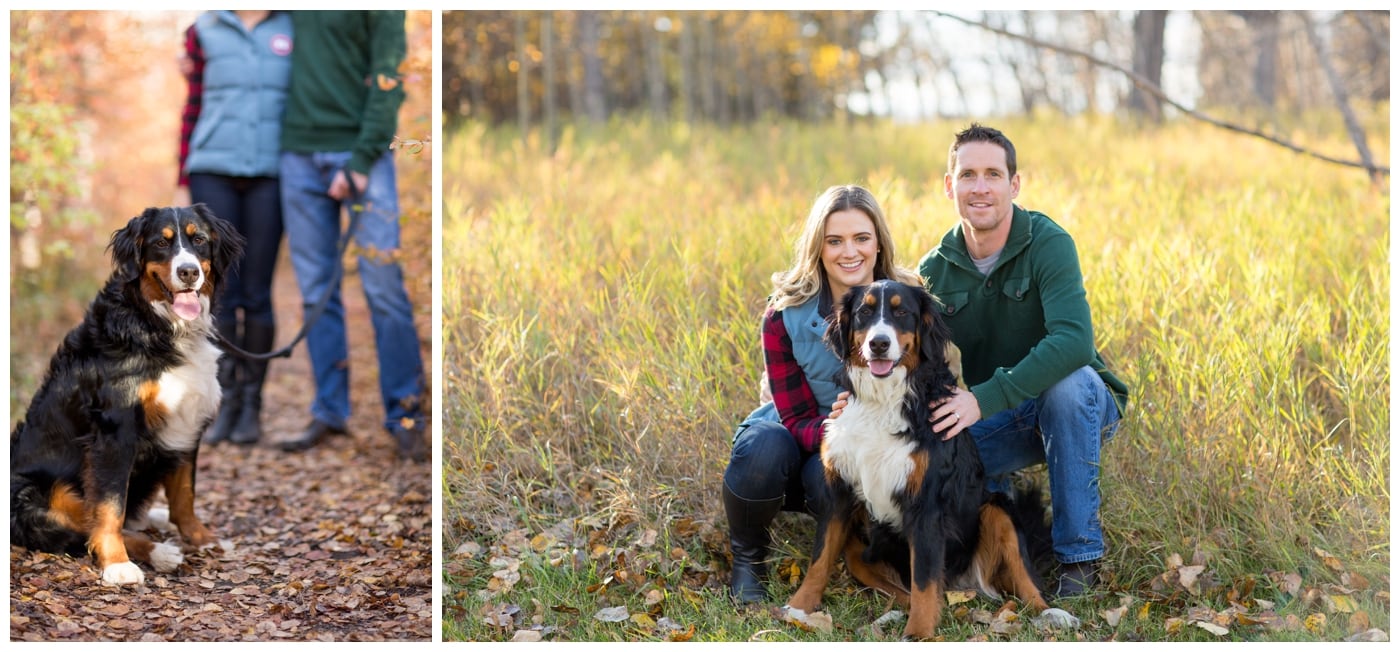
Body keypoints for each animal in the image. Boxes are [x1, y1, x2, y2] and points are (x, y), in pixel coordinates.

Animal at [10, 205, 246, 584]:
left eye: (198, 240)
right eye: (161, 243)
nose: (189, 272)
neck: (156, 324)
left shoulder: (187, 422)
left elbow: (185, 495)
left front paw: (202, 539)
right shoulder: (115, 430)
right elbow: (109, 508)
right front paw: (117, 564)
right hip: (34, 496)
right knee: (85, 522)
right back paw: (158, 552)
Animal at [784, 277, 1075, 638]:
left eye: (902, 312)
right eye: (865, 311)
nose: (879, 344)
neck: (884, 401)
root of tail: (962, 582)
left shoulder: (927, 504)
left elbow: (924, 579)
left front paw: (919, 634)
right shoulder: (839, 492)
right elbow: (820, 558)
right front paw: (799, 607)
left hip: (997, 509)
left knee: (1025, 582)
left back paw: (1052, 614)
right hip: (860, 552)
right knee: (902, 591)